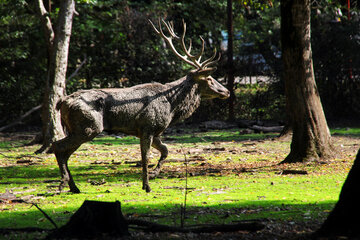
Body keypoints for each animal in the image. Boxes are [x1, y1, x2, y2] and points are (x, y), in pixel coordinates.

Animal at [51, 18, 229, 193]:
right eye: (209, 79)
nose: (226, 91)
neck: (171, 107)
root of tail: (62, 103)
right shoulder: (147, 127)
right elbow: (145, 157)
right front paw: (147, 185)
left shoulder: (155, 131)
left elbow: (165, 150)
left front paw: (154, 174)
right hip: (88, 127)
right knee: (57, 146)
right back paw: (63, 184)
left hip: (78, 129)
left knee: (65, 153)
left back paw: (74, 187)